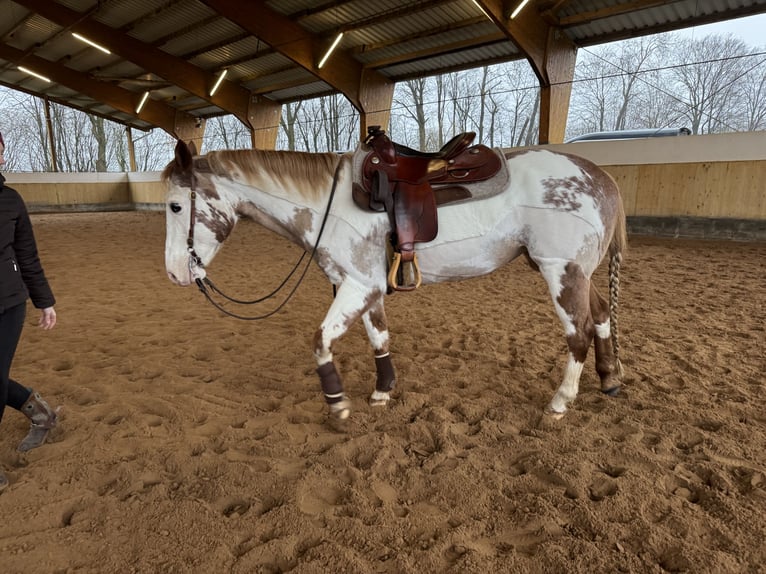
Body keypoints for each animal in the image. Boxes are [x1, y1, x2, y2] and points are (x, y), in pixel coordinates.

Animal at [165, 137, 628, 420]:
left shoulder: (358, 284)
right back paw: (609, 379)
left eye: (174, 205)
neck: (326, 204)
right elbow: (379, 336)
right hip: (575, 271)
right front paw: (383, 390)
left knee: (580, 331)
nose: (174, 273)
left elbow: (320, 339)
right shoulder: (365, 285)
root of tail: (601, 177)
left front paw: (337, 403)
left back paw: (561, 401)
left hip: (560, 270)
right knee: (602, 314)